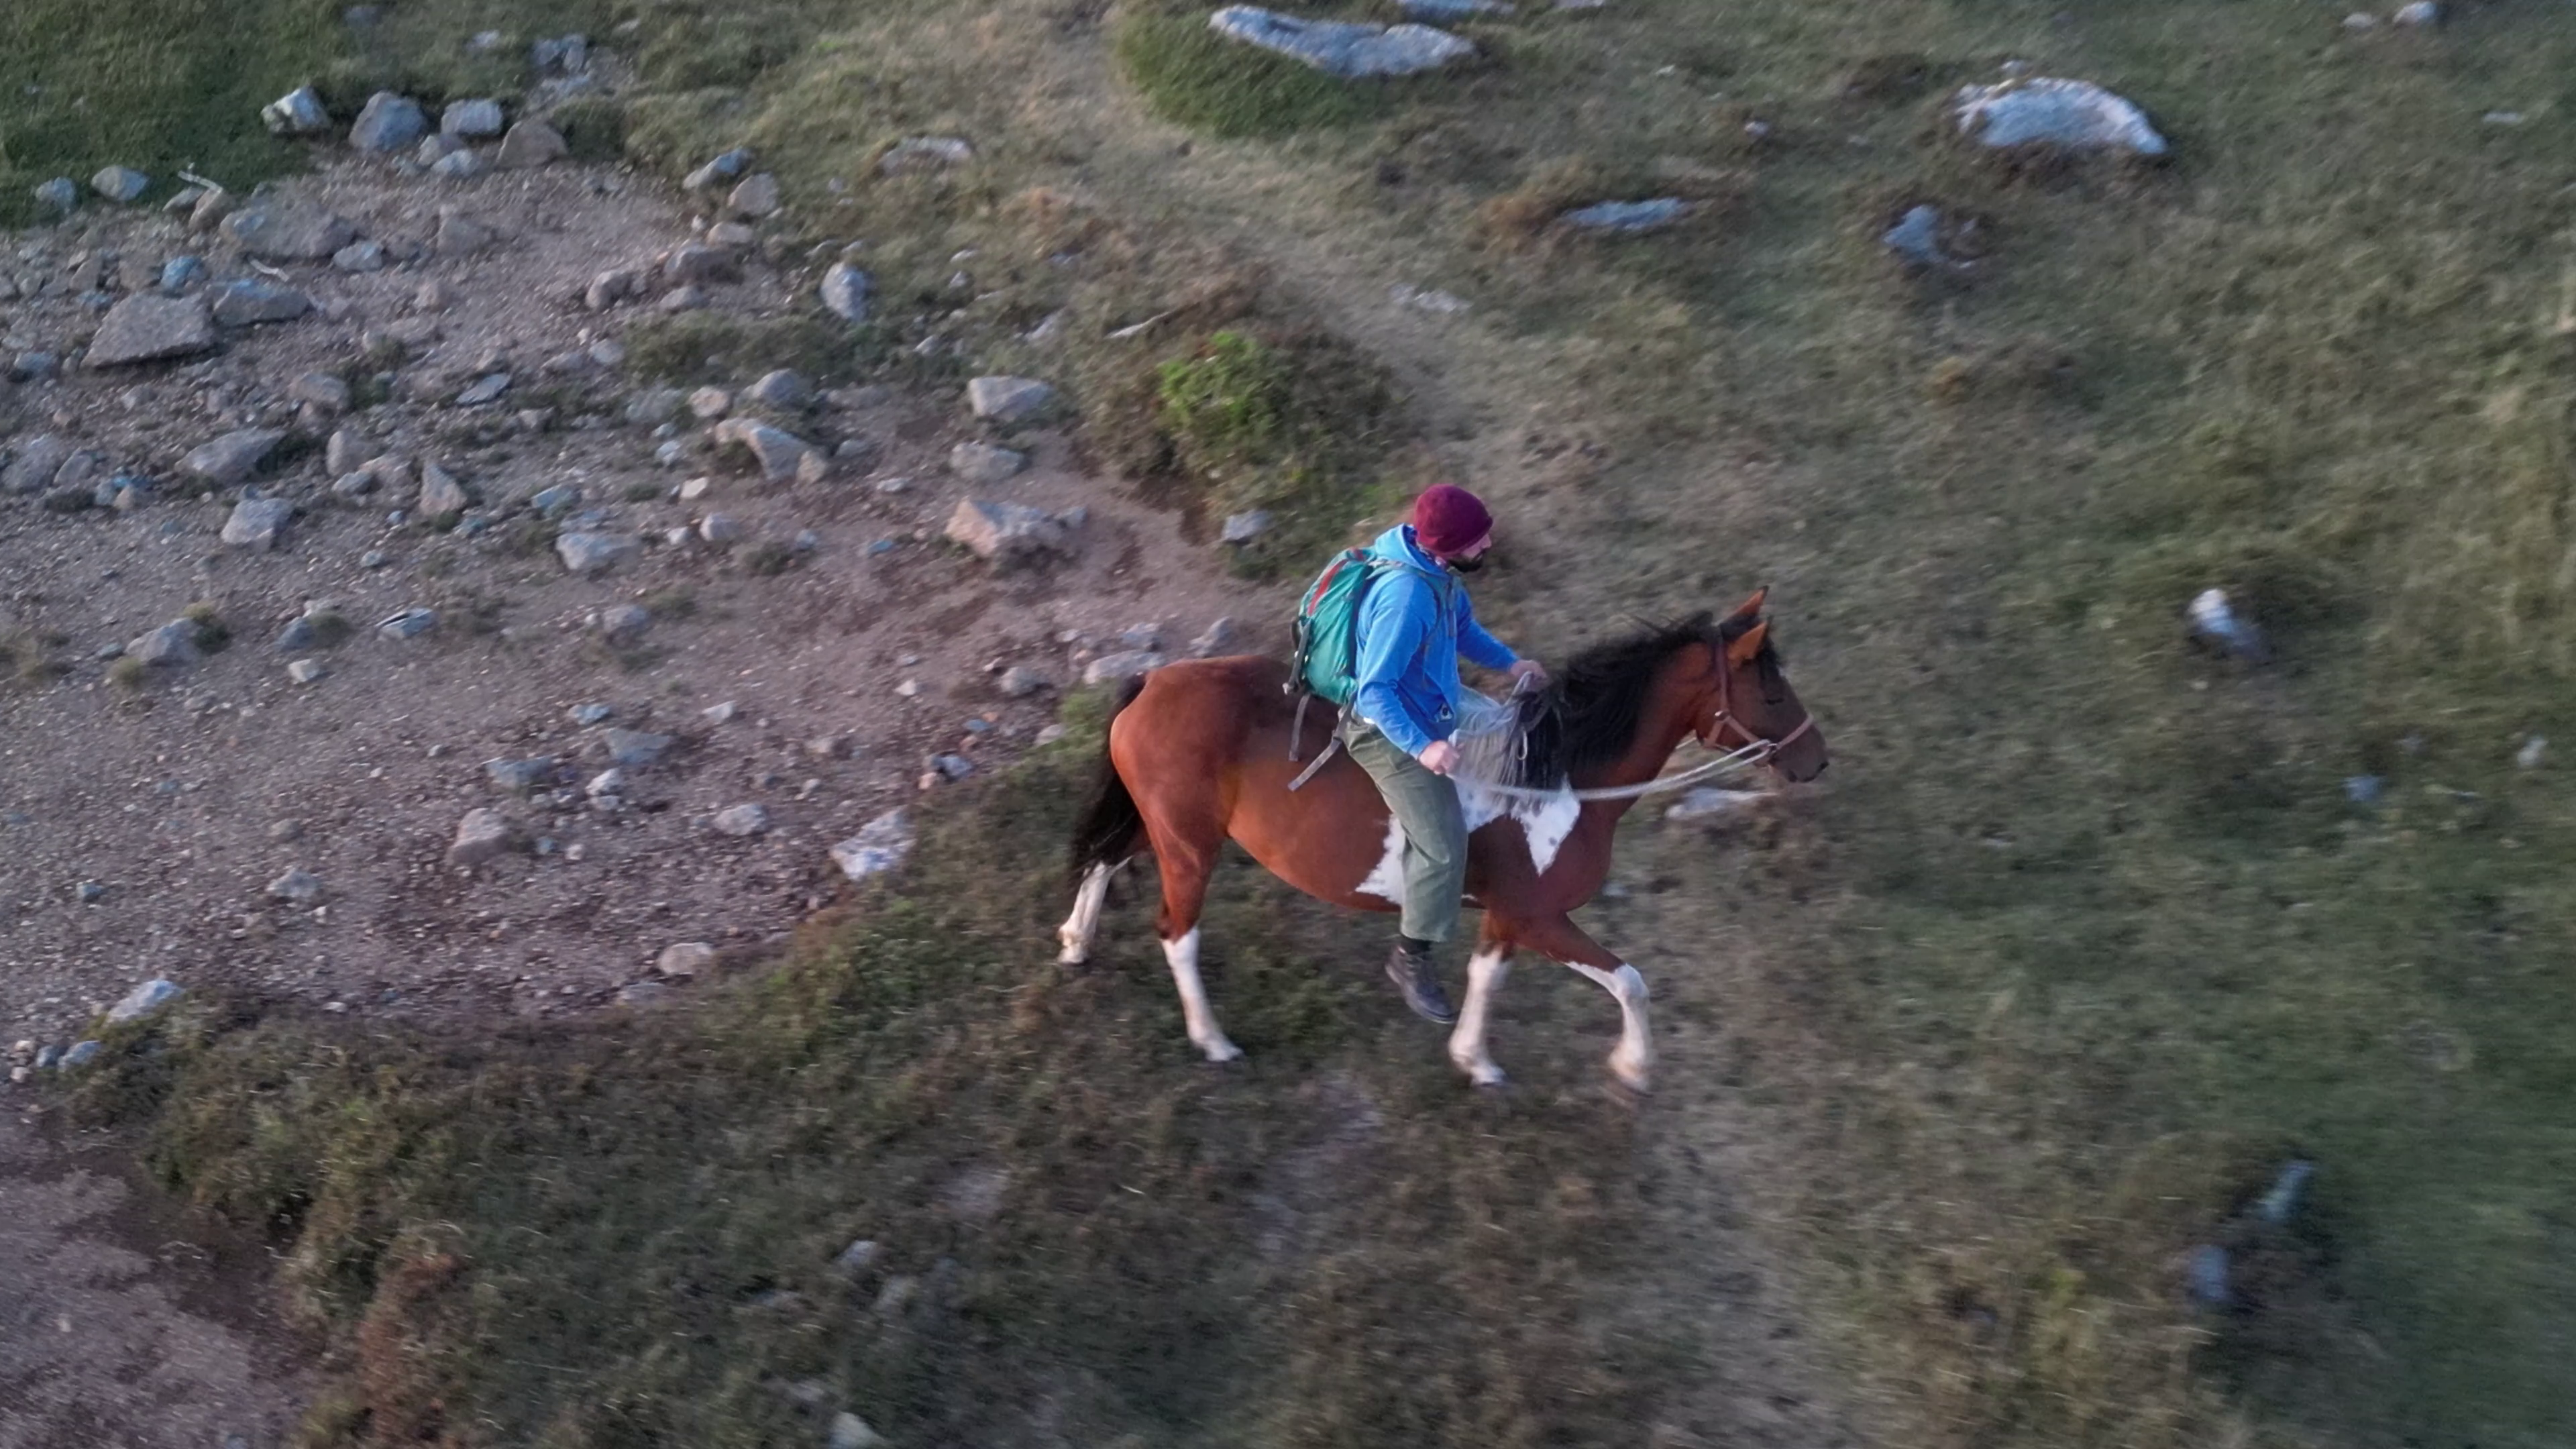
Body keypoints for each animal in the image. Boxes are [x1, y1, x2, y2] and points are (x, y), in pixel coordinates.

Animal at [1057, 589, 1827, 1090]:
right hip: (1191, 848)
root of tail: (1153, 680)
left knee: (1104, 858)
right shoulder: (1541, 917)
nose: (1815, 760)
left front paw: (1473, 1058)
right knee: (1176, 934)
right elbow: (1630, 980)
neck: (1557, 778)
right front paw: (1634, 1067)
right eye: (1773, 691)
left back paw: (1076, 944)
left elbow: (1487, 976)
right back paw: (1213, 1040)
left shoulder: (1511, 917)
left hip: (1165, 829)